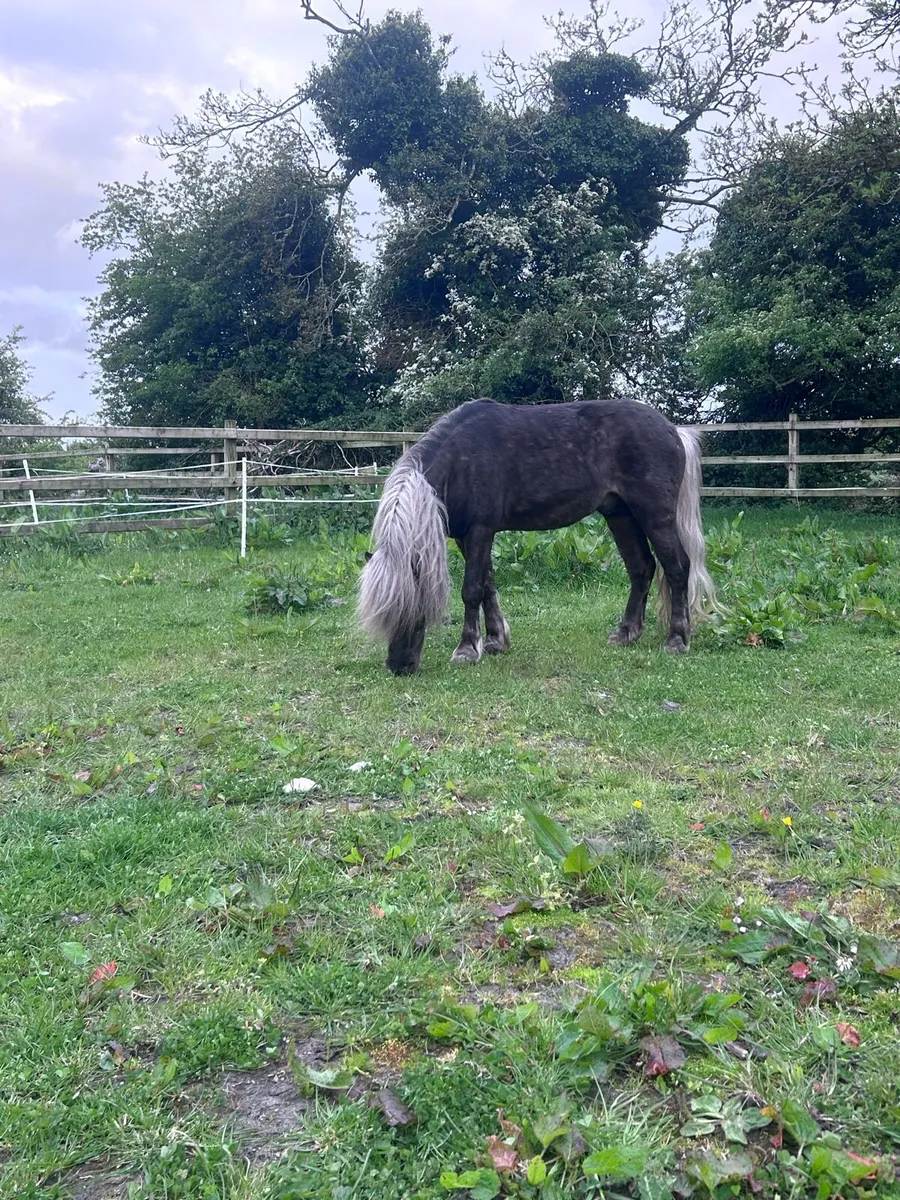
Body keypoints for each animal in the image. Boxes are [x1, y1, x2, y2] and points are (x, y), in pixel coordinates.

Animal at [358, 397, 716, 675]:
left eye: (409, 606)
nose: (399, 666)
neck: (459, 459)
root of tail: (674, 431)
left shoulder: (480, 530)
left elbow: (471, 590)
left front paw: (466, 649)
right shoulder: (468, 536)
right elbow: (487, 585)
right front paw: (495, 640)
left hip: (654, 515)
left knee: (677, 567)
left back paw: (677, 639)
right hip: (620, 515)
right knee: (642, 569)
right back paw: (626, 633)